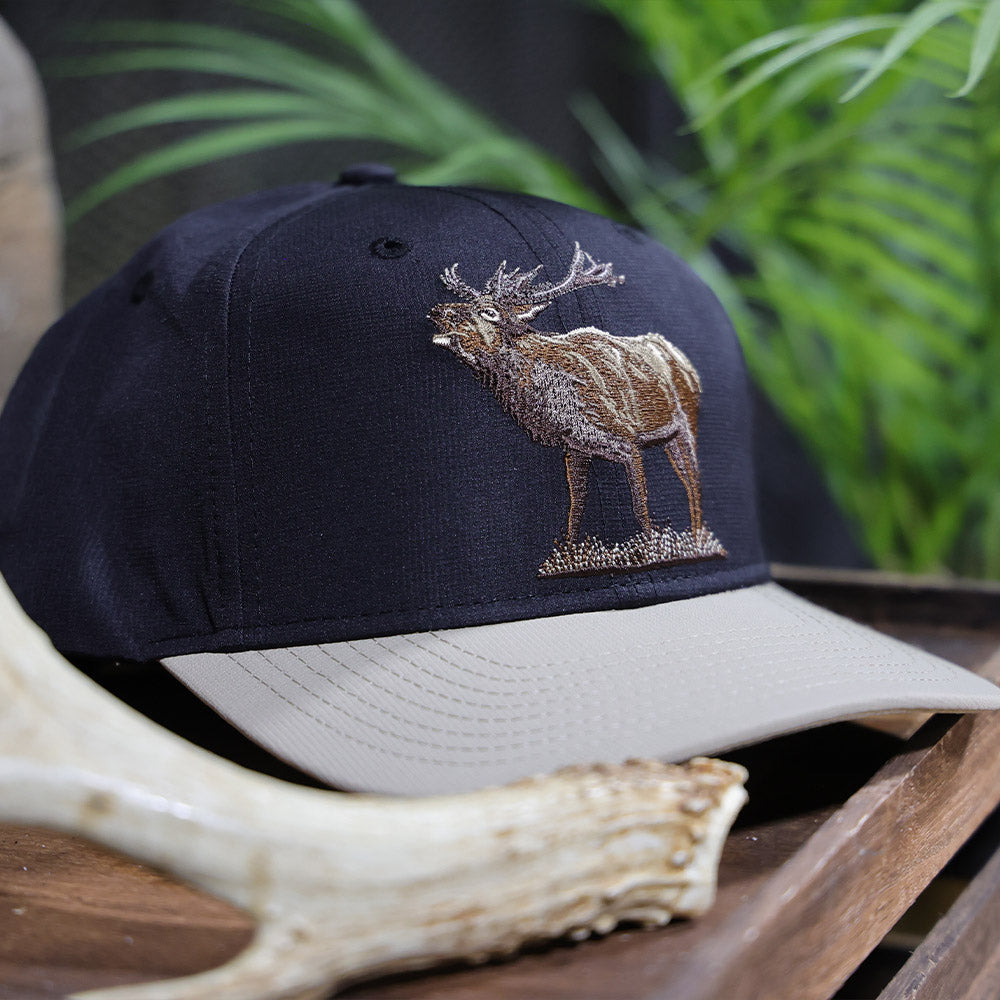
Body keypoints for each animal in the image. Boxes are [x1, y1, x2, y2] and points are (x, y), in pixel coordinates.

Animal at [428, 242, 704, 548]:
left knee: (694, 479)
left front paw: (650, 547)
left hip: (687, 421)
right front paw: (571, 548)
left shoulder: (626, 439)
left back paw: (699, 540)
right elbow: (575, 507)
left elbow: (639, 506)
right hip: (669, 437)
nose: (438, 310)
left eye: (489, 311)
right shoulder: (576, 448)